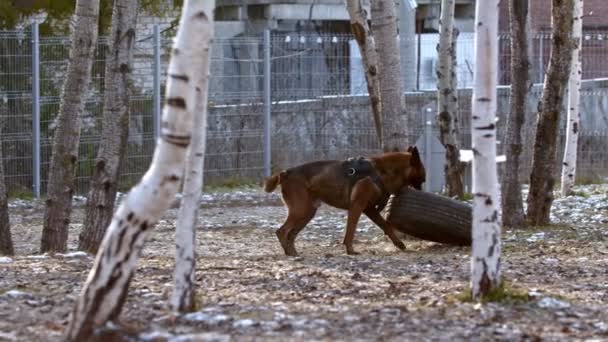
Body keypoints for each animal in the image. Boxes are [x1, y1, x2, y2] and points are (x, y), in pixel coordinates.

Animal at [264, 146, 426, 255]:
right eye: (422, 175)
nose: (423, 190)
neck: (380, 172)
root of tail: (285, 173)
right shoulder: (358, 207)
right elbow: (351, 230)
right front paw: (350, 250)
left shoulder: (369, 209)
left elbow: (386, 226)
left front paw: (399, 244)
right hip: (301, 211)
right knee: (282, 231)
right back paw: (289, 252)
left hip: (308, 213)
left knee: (291, 234)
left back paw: (292, 252)